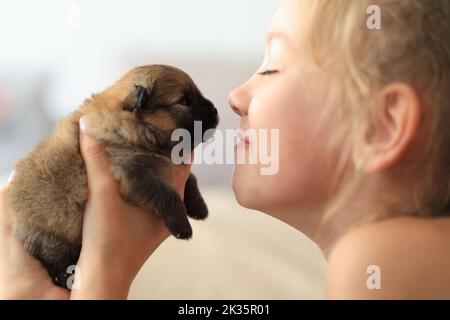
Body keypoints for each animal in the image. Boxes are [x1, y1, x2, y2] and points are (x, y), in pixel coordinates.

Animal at [5, 65, 220, 288]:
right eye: (185, 101)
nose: (216, 110)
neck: (128, 123)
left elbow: (191, 178)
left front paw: (198, 206)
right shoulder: (133, 173)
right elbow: (167, 193)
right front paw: (181, 223)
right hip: (48, 235)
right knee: (52, 255)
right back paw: (63, 276)